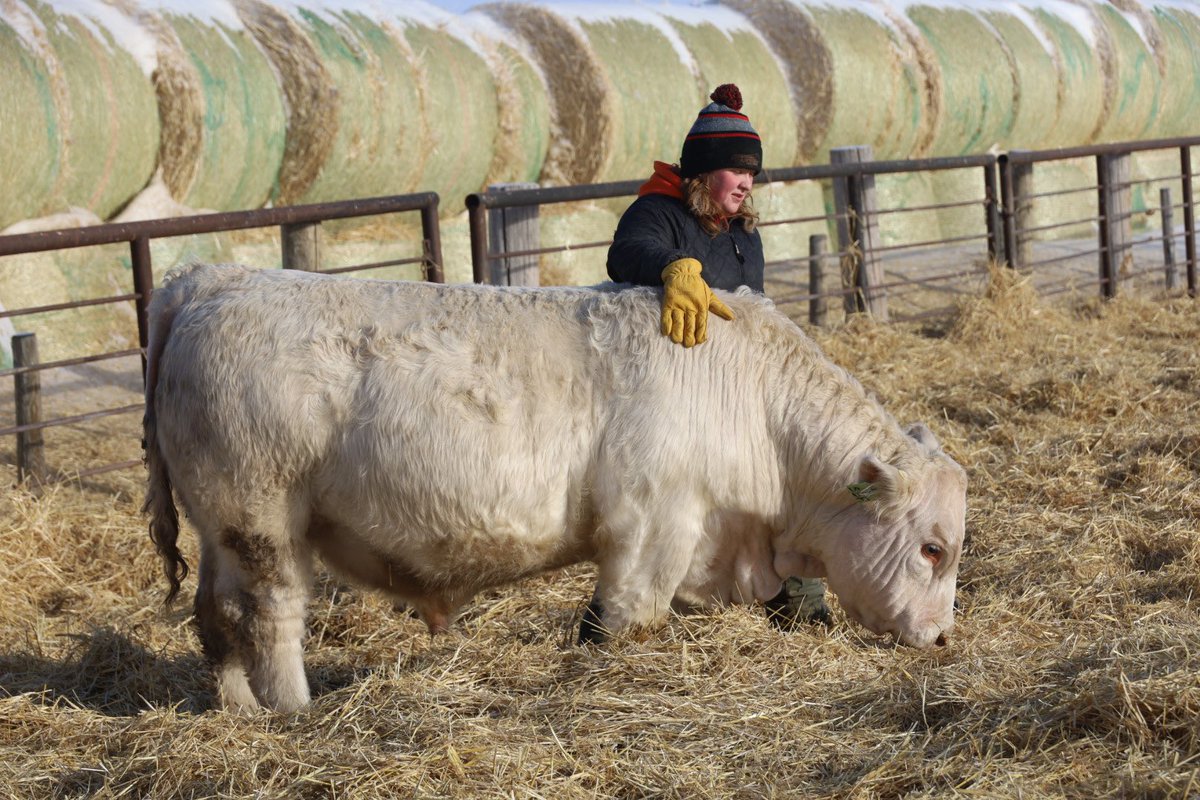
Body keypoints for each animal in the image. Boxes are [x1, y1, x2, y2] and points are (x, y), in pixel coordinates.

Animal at [143, 263, 967, 712]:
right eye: (933, 549)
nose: (942, 639)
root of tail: (217, 278)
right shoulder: (653, 532)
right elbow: (623, 623)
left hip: (220, 530)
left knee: (216, 614)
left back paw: (241, 710)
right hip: (262, 521)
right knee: (271, 616)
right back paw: (294, 710)